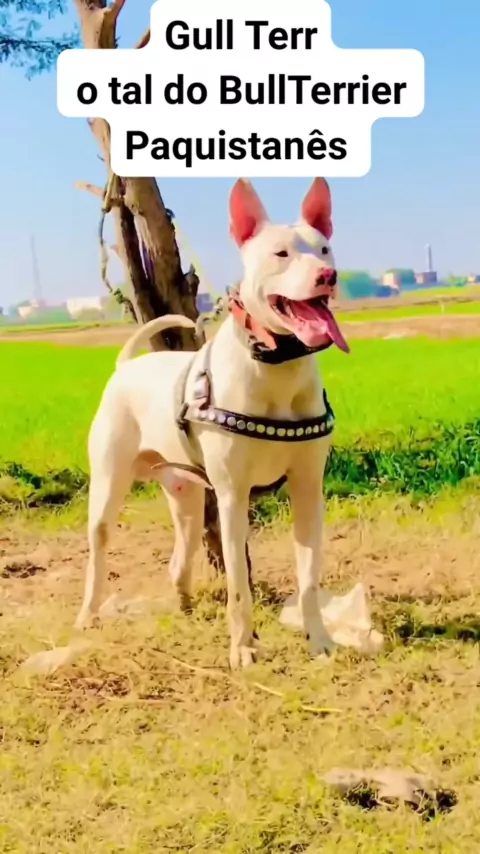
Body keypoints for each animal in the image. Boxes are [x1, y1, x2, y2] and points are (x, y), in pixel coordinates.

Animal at [75, 177, 349, 668]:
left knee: (180, 550)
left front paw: (319, 641)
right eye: (281, 254)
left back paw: (183, 603)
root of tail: (127, 366)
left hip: (183, 494)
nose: (327, 276)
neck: (276, 365)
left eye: (324, 249)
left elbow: (309, 578)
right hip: (108, 485)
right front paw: (242, 648)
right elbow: (238, 585)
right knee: (99, 549)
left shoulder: (307, 490)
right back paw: (88, 615)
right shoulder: (232, 496)